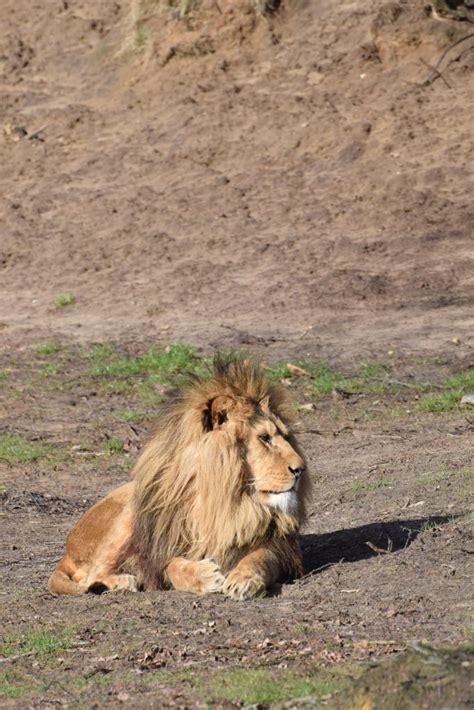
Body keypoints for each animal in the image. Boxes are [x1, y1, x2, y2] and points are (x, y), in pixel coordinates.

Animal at [46, 356, 310, 600]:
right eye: (264, 438)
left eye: (286, 436)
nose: (300, 469)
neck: (222, 500)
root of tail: (68, 547)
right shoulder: (159, 551)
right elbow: (173, 566)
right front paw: (205, 576)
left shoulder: (280, 548)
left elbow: (259, 558)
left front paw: (243, 580)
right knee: (89, 577)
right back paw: (123, 581)